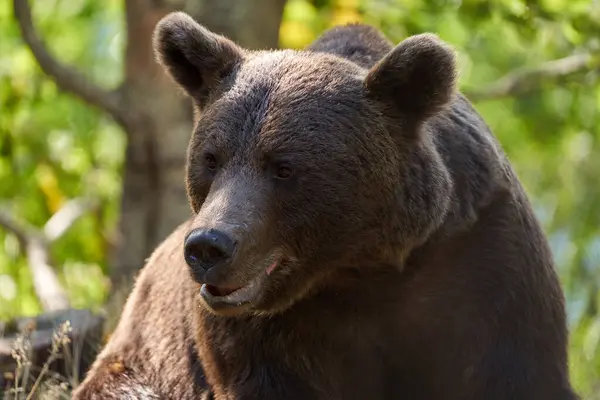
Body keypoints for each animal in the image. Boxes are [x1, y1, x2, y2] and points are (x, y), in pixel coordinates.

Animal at [72, 10, 580, 398]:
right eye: (211, 159)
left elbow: (513, 370)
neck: (357, 266)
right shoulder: (261, 337)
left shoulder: (482, 265)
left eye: (282, 167)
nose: (207, 247)